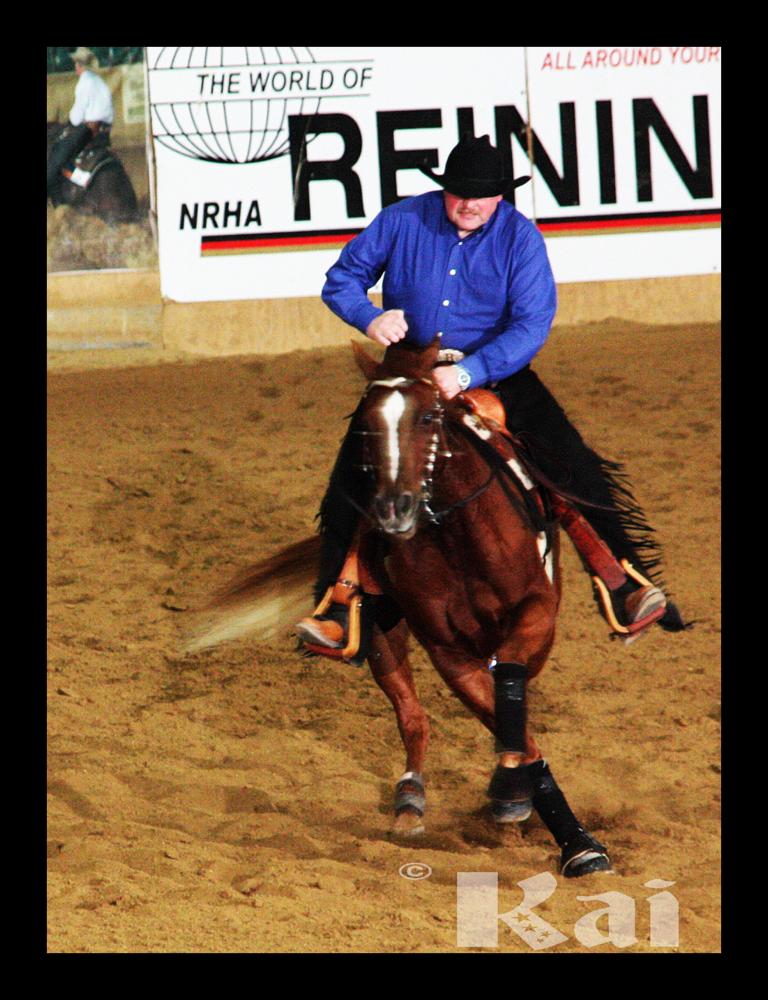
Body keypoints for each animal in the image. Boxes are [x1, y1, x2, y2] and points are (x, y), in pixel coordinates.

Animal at [190, 340, 612, 880]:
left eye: (430, 414)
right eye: (366, 421)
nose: (395, 509)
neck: (459, 538)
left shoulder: (535, 614)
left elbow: (512, 694)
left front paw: (570, 837)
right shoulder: (447, 648)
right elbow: (490, 715)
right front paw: (512, 799)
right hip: (381, 628)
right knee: (411, 714)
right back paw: (410, 800)